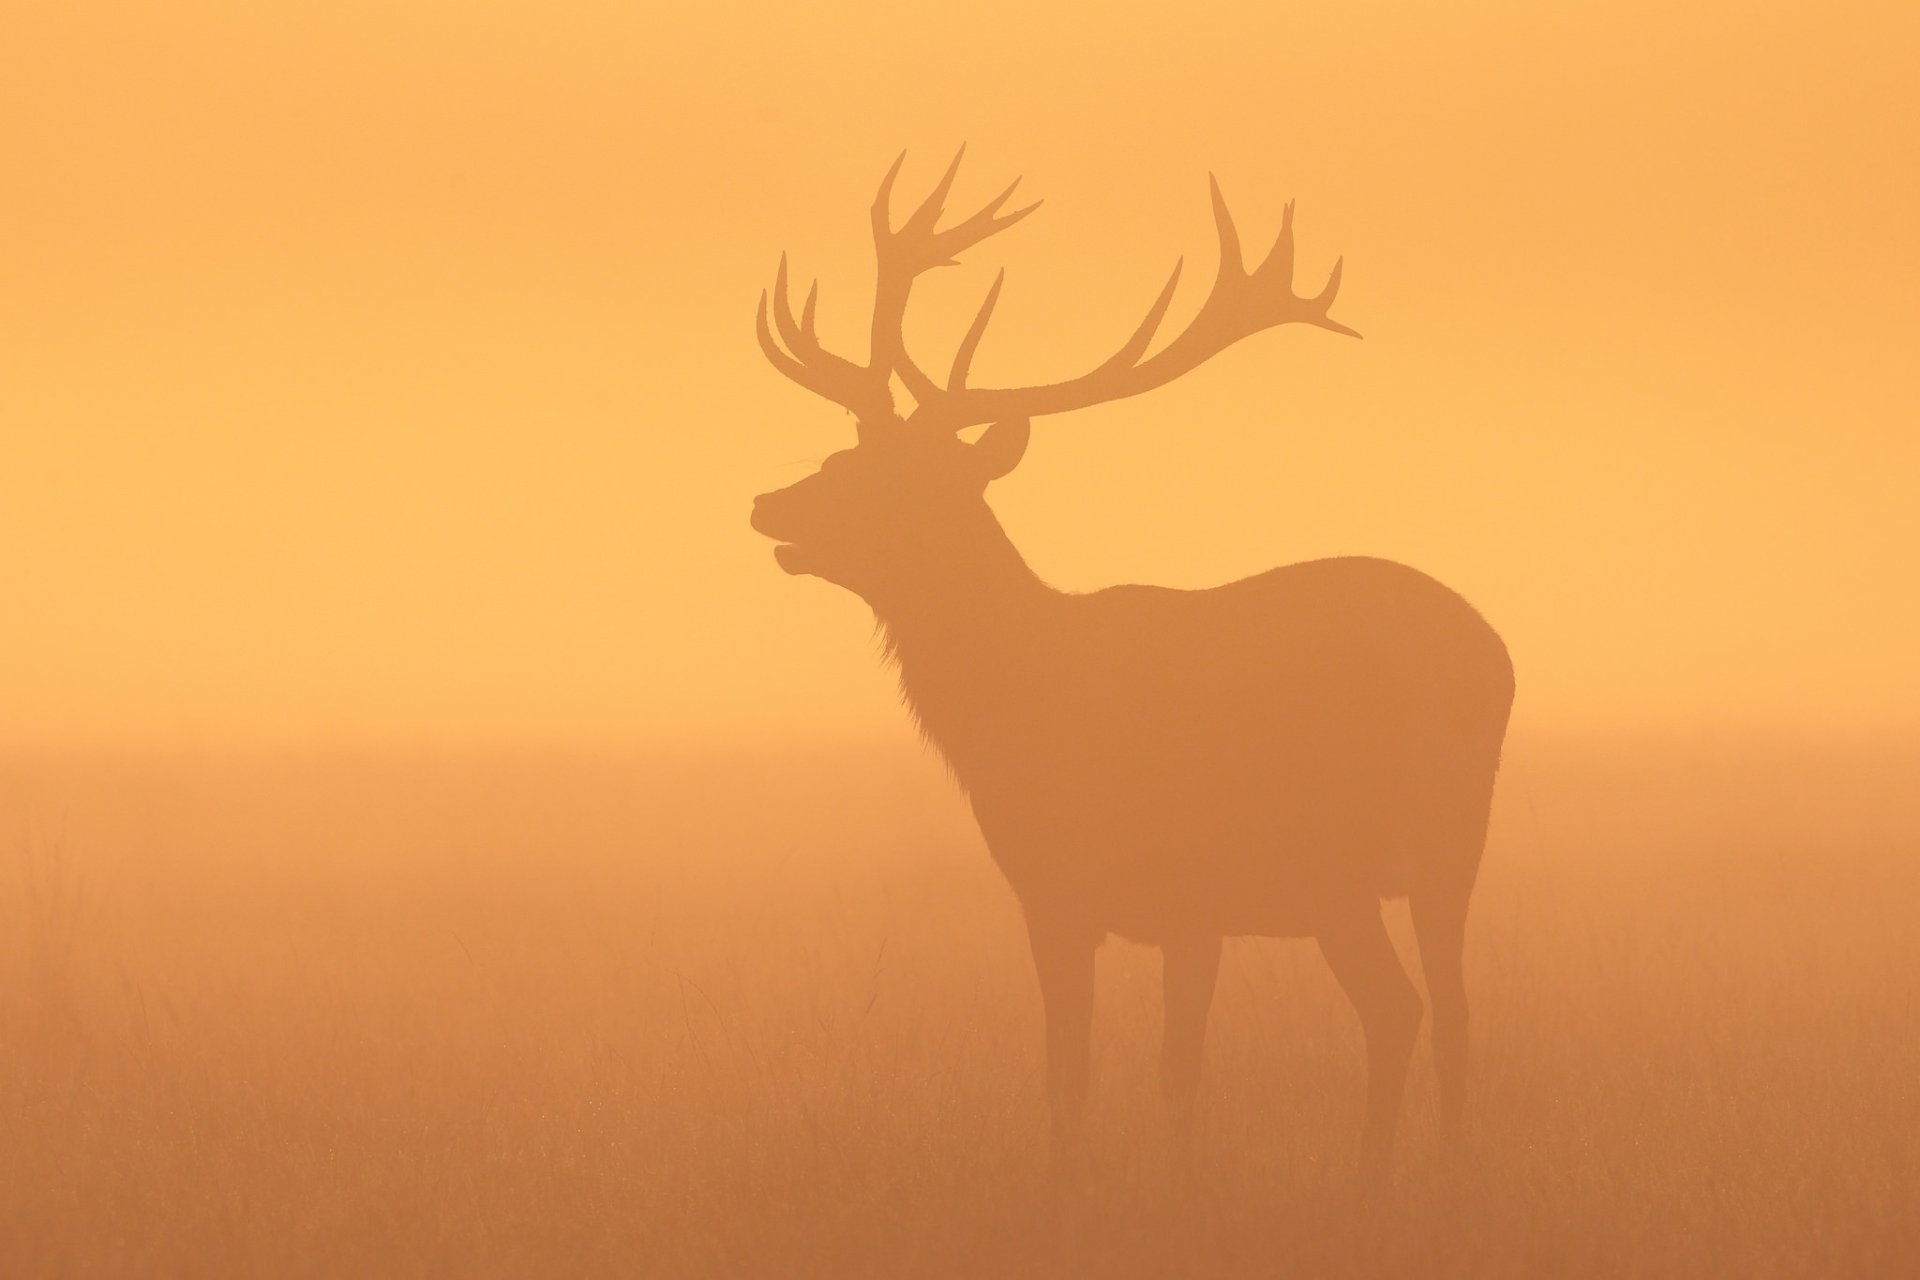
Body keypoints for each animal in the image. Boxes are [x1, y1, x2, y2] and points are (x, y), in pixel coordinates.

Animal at [749, 149, 1515, 1185]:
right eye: (843, 453)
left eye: (900, 481)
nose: (767, 505)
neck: (1030, 714)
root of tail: (1499, 653)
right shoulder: (1051, 900)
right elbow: (1066, 1075)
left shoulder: (1193, 894)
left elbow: (1174, 1075)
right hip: (1388, 876)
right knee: (1425, 1013)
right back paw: (1401, 1175)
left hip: (1412, 851)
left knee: (1427, 1012)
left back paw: (1401, 1175)